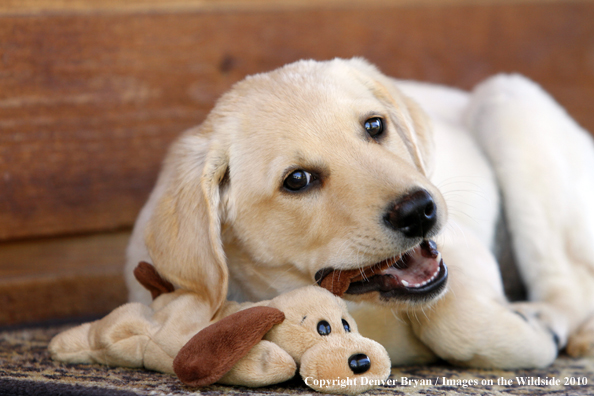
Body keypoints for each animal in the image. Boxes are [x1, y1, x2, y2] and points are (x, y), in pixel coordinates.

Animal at [125, 58, 592, 368]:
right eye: (297, 180)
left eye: (374, 126)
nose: (419, 211)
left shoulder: (461, 245)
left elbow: (453, 320)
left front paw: (531, 336)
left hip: (507, 102)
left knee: (571, 283)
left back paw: (550, 320)